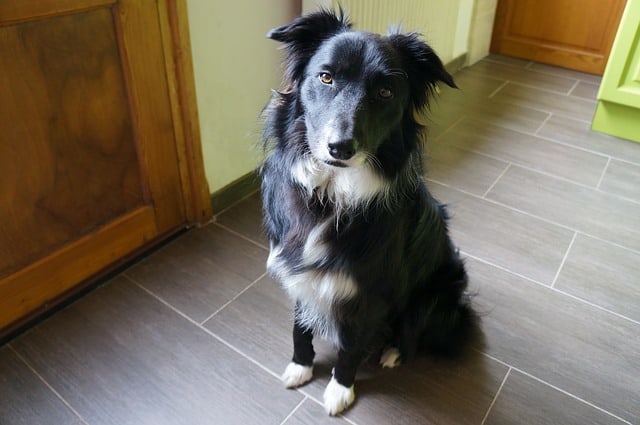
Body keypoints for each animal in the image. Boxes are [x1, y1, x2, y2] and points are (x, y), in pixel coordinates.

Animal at [258, 9, 476, 414]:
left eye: (385, 92)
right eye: (325, 77)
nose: (340, 148)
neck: (331, 194)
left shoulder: (367, 293)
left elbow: (350, 347)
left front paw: (339, 390)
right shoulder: (299, 271)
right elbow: (300, 326)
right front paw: (300, 367)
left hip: (437, 293)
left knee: (412, 331)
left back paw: (393, 352)